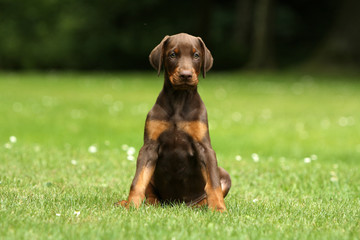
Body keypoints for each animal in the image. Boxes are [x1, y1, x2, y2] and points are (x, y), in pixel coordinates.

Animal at [116, 32, 233, 211]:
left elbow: (213, 183)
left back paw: (201, 206)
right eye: (172, 54)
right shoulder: (149, 148)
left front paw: (219, 209)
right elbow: (138, 181)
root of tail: (176, 204)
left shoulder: (205, 148)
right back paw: (141, 203)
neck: (179, 99)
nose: (185, 75)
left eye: (196, 55)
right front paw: (131, 206)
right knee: (150, 193)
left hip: (224, 175)